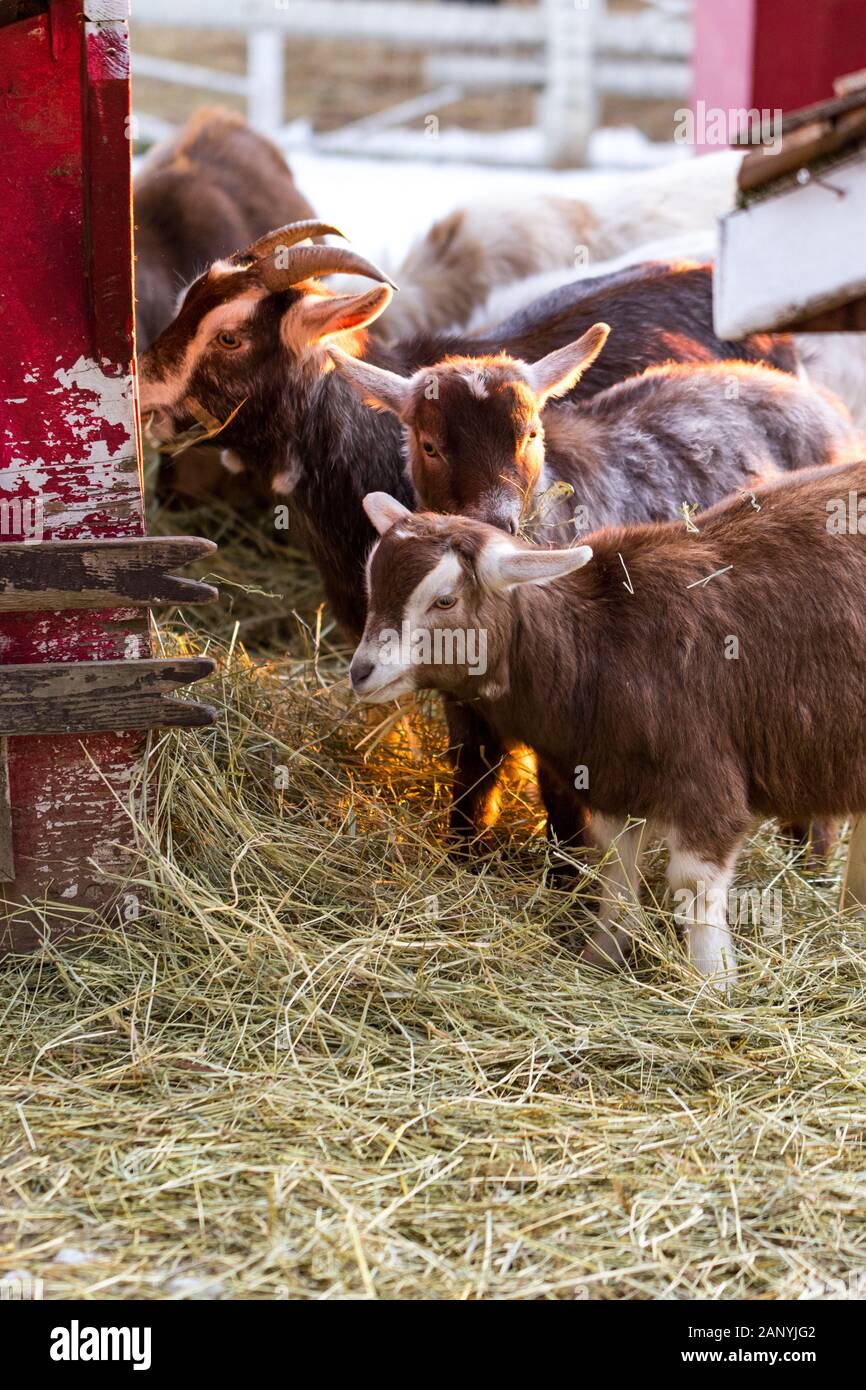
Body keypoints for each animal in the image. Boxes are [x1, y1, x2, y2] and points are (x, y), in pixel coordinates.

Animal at [351, 461, 866, 988]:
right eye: (374, 584)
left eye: (445, 602)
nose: (361, 672)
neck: (595, 642)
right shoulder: (610, 778)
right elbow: (617, 870)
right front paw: (601, 955)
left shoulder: (705, 782)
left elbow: (694, 884)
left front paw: (713, 982)